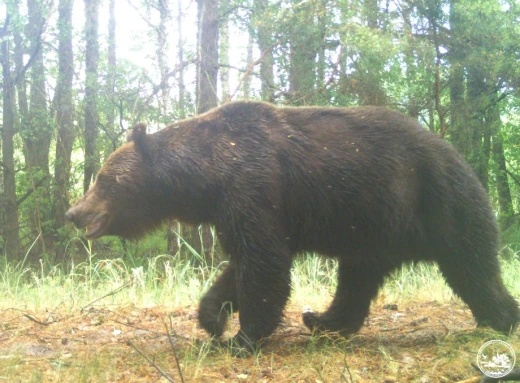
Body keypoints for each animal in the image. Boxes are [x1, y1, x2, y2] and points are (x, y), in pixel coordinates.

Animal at [66, 101, 520, 354]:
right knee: (357, 281)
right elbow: (242, 264)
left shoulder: (256, 187)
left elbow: (264, 267)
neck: (208, 175)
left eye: (103, 180)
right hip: (372, 229)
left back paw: (503, 318)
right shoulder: (233, 210)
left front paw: (242, 339)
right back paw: (320, 320)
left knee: (473, 266)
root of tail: (458, 155)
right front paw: (213, 318)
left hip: (439, 202)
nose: (73, 212)